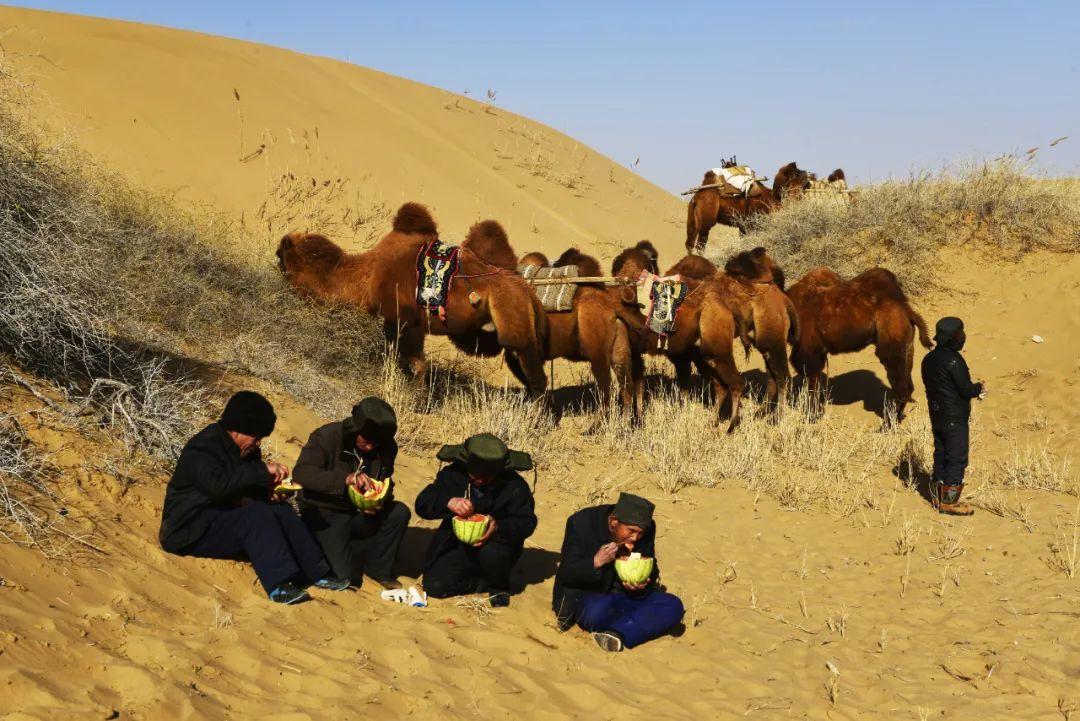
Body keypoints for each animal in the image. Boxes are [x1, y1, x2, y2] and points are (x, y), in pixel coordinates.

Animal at [278, 199, 548, 397]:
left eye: (283, 257)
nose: (277, 251)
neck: (368, 277)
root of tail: (528, 293)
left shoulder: (404, 319)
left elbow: (417, 363)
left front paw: (417, 400)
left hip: (516, 325)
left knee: (538, 379)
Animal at [790, 267, 933, 418]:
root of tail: (907, 310)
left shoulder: (809, 353)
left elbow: (812, 385)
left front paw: (812, 416)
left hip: (892, 348)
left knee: (901, 387)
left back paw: (889, 421)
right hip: (907, 347)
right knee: (908, 382)